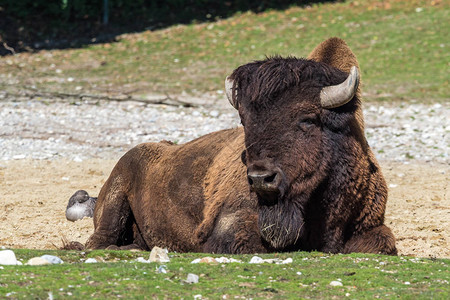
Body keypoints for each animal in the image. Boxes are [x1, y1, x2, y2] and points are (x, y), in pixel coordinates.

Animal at [77, 36, 398, 254]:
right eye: (244, 120)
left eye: (307, 119)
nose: (260, 178)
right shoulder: (232, 226)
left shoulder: (371, 225)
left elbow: (383, 242)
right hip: (116, 193)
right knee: (99, 240)